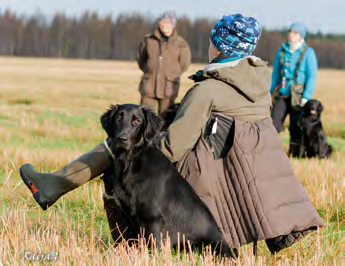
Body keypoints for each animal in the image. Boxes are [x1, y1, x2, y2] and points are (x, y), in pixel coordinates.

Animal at [99, 104, 234, 258]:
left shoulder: (152, 217)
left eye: (137, 121)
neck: (129, 161)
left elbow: (153, 246)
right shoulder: (127, 215)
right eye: (118, 118)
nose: (121, 139)